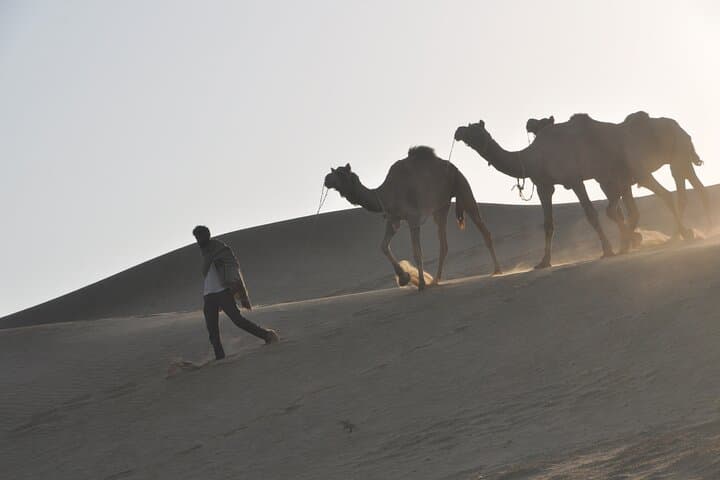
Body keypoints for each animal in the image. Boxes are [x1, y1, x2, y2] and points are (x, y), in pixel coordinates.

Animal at [323, 146, 501, 290]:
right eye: (332, 171)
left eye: (340, 173)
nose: (326, 179)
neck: (384, 194)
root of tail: (453, 167)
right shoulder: (393, 219)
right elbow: (383, 246)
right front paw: (404, 277)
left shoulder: (413, 218)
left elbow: (417, 252)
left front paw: (420, 283)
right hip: (441, 207)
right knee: (443, 244)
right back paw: (435, 280)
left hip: (462, 186)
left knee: (483, 230)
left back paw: (497, 270)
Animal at [455, 118, 638, 268]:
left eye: (473, 128)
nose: (458, 131)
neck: (532, 158)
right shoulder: (544, 186)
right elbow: (548, 223)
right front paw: (544, 262)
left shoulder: (574, 179)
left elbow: (590, 213)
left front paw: (607, 250)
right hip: (605, 173)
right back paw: (631, 241)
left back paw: (630, 241)